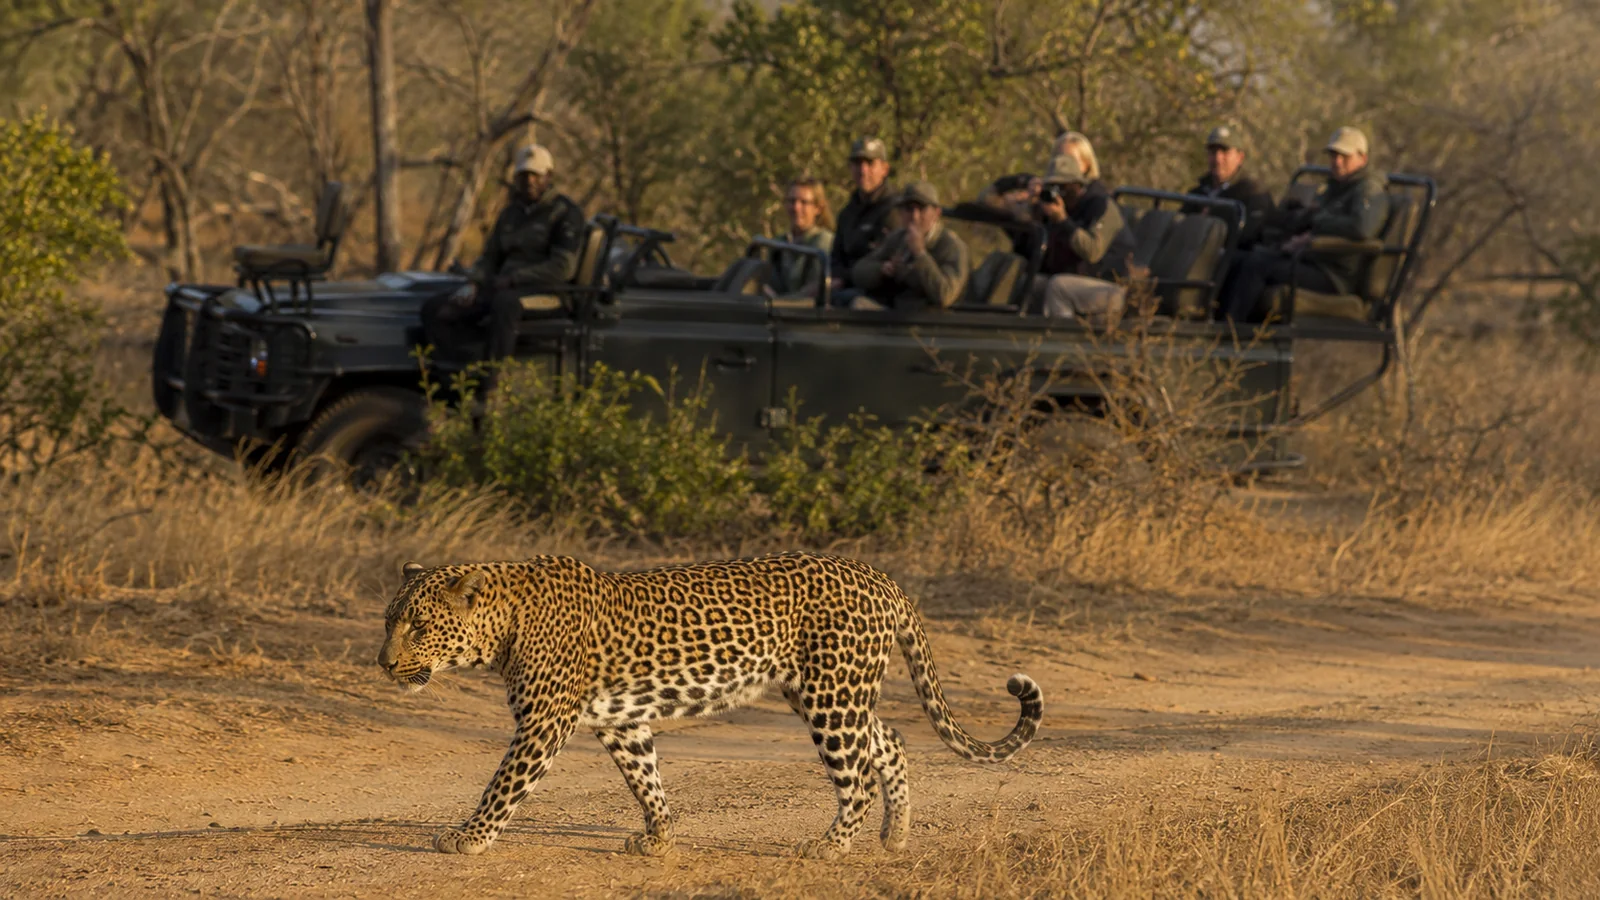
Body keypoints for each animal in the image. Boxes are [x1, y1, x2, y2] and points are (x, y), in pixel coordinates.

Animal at [377, 551, 1043, 859]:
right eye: (388, 621)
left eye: (418, 626)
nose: (382, 662)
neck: (501, 627)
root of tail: (881, 577)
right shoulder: (621, 720)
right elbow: (645, 779)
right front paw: (660, 837)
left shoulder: (544, 721)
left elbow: (503, 784)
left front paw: (468, 838)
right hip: (826, 691)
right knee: (891, 741)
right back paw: (895, 833)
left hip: (831, 696)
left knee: (854, 777)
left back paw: (831, 845)